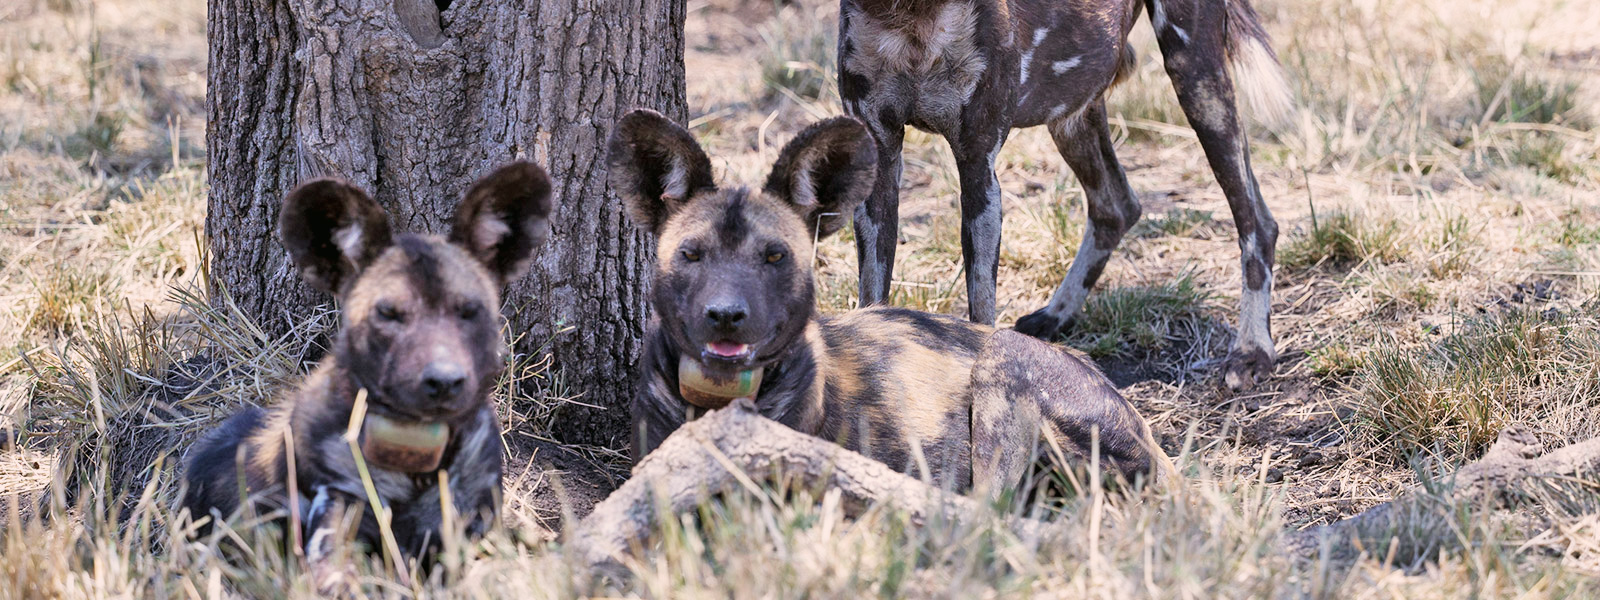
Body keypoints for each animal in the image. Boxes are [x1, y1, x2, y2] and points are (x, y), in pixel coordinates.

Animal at [844, 0, 1292, 390]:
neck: (911, 14)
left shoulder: (977, 165)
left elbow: (981, 309)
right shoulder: (880, 165)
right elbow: (872, 301)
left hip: (1197, 81)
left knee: (1255, 222)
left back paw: (1252, 349)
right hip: (1072, 110)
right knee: (1117, 208)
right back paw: (1057, 315)